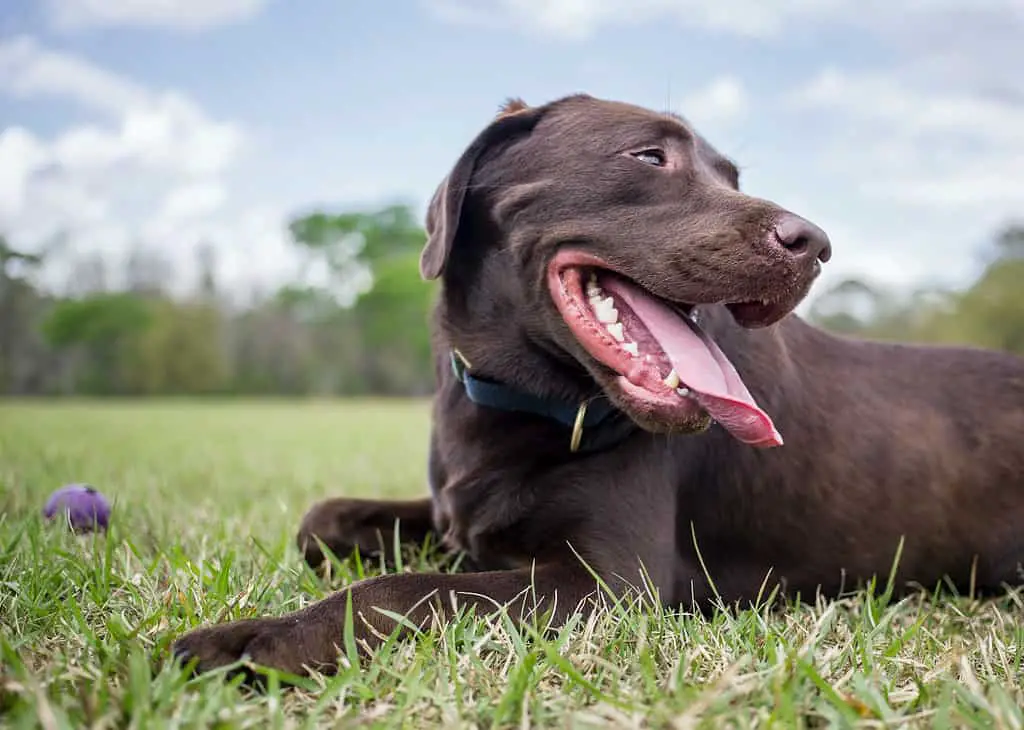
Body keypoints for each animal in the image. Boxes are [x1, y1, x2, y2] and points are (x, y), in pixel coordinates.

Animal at [172, 92, 1024, 675]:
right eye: (648, 157)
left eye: (731, 176)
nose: (813, 244)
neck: (523, 399)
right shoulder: (458, 516)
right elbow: (324, 518)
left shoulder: (609, 584)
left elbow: (402, 591)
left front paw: (253, 641)